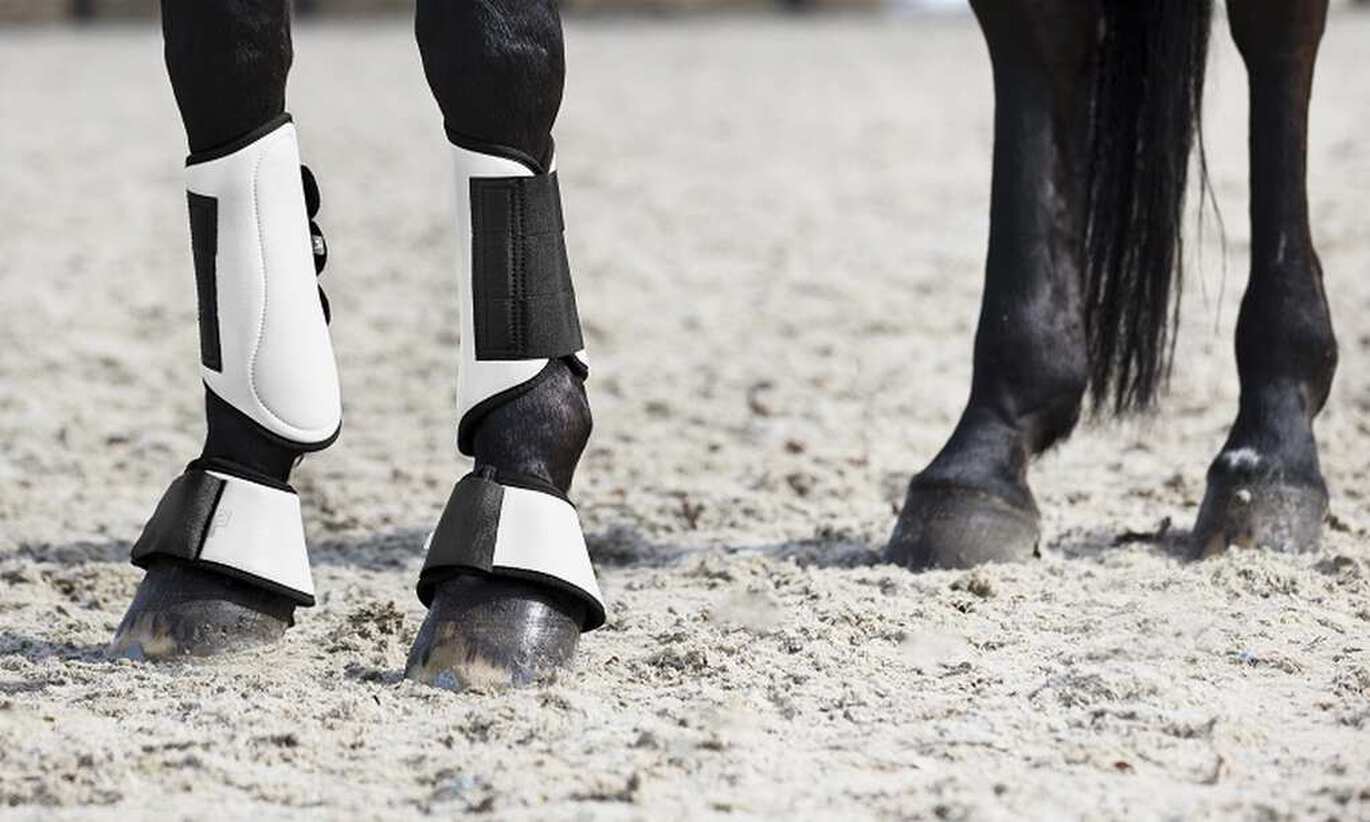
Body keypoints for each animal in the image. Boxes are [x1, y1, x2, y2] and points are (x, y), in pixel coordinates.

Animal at [107, 0, 1337, 692]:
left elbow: (491, 56)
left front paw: (512, 529)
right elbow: (223, 62)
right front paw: (223, 528)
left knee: (1274, 28)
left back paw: (1270, 449)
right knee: (1039, 32)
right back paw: (984, 459)